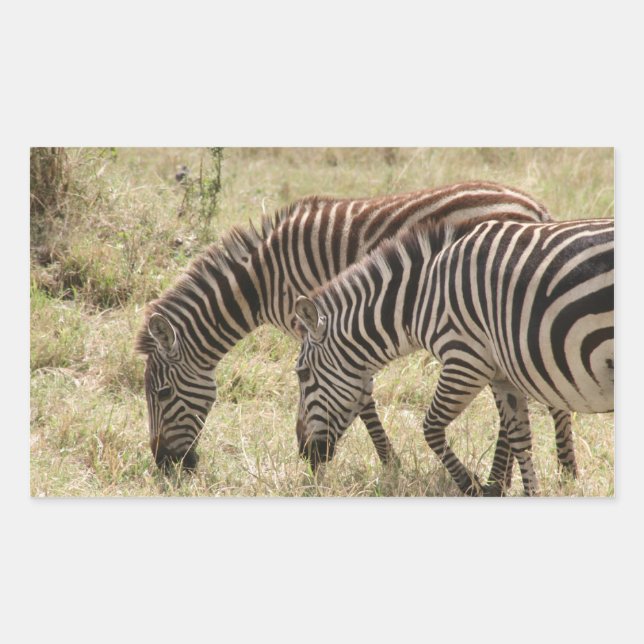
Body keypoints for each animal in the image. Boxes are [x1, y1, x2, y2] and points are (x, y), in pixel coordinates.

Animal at [135, 181, 571, 480]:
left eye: (163, 394)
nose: (165, 466)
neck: (262, 281)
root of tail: (535, 207)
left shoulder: (321, 324)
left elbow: (356, 395)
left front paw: (388, 463)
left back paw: (526, 475)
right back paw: (553, 471)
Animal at [294, 216, 614, 495]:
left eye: (303, 373)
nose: (304, 454)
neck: (418, 299)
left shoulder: (465, 359)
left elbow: (431, 427)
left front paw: (471, 485)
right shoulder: (502, 374)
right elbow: (521, 437)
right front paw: (530, 493)